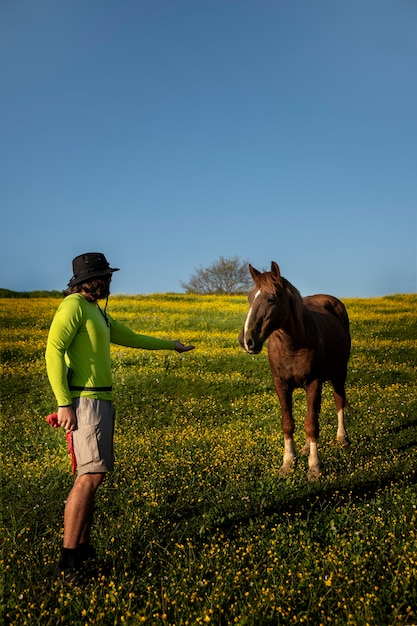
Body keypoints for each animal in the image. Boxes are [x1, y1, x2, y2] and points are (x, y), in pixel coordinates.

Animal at [237, 260, 352, 478]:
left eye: (271, 298)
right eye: (249, 298)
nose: (247, 341)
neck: (292, 345)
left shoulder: (314, 382)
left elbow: (311, 424)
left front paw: (314, 468)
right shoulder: (281, 385)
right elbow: (289, 423)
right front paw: (288, 462)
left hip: (339, 373)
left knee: (339, 400)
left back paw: (342, 437)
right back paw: (307, 448)